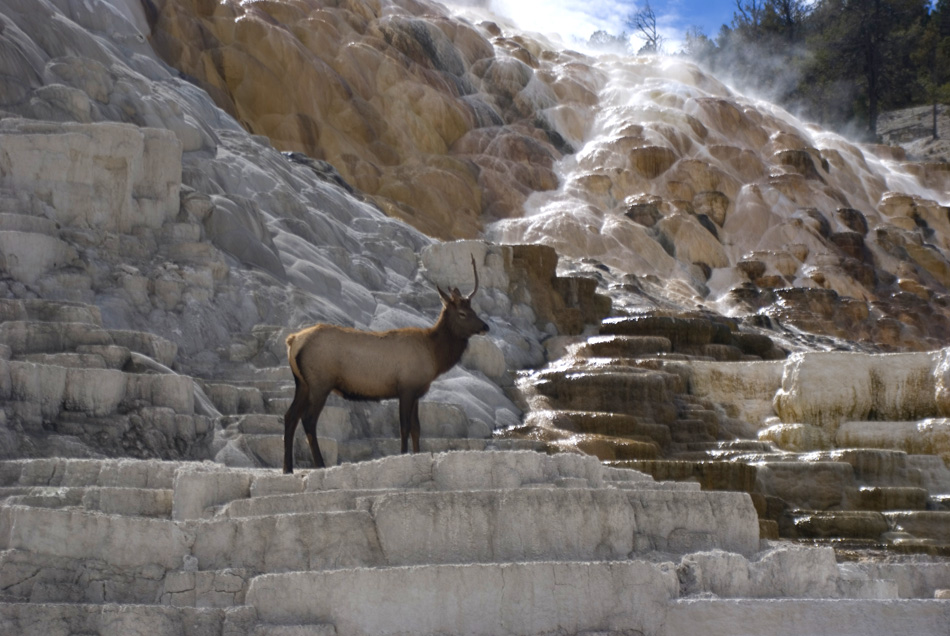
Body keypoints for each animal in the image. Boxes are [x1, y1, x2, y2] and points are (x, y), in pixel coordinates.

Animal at [282, 253, 490, 472]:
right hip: (320, 383)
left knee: (290, 416)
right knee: (308, 419)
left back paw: (288, 468)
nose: (486, 326)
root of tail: (293, 341)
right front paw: (404, 455)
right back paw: (320, 464)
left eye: (473, 309)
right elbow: (404, 426)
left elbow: (416, 428)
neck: (434, 356)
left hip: (302, 383)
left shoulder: (417, 390)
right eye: (462, 313)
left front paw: (417, 454)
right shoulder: (406, 387)